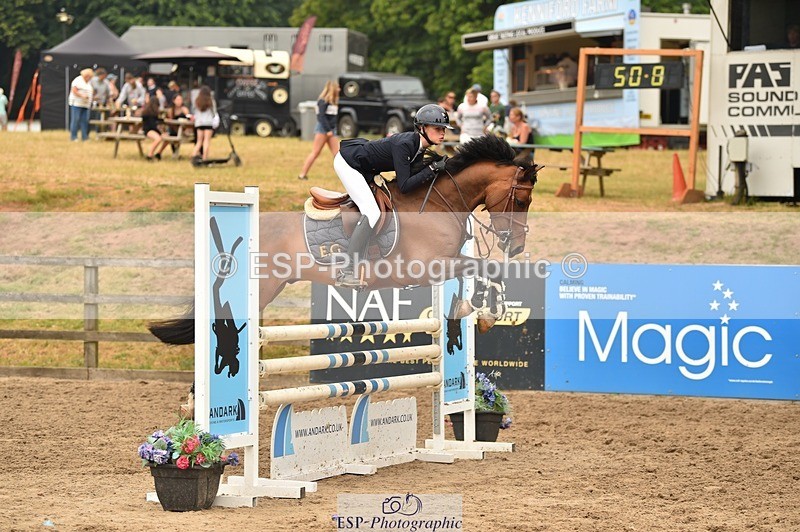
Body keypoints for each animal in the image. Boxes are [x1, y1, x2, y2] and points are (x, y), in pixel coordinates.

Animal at [149, 135, 538, 344]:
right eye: (522, 200)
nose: (517, 246)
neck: (440, 202)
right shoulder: (428, 267)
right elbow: (483, 267)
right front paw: (484, 312)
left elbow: (485, 270)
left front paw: (479, 310)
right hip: (260, 289)